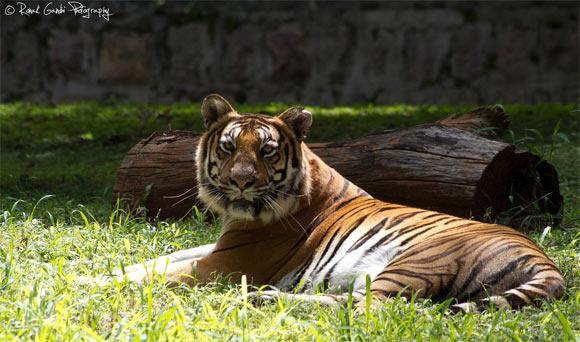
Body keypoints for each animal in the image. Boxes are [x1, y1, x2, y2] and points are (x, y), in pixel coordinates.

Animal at [96, 94, 568, 312]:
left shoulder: (225, 264)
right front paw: (92, 272)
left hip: (416, 260)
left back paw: (266, 298)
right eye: (229, 147)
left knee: (363, 307)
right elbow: (152, 262)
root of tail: (545, 260)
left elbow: (157, 276)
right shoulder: (216, 248)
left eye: (266, 151)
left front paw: (90, 284)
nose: (241, 182)